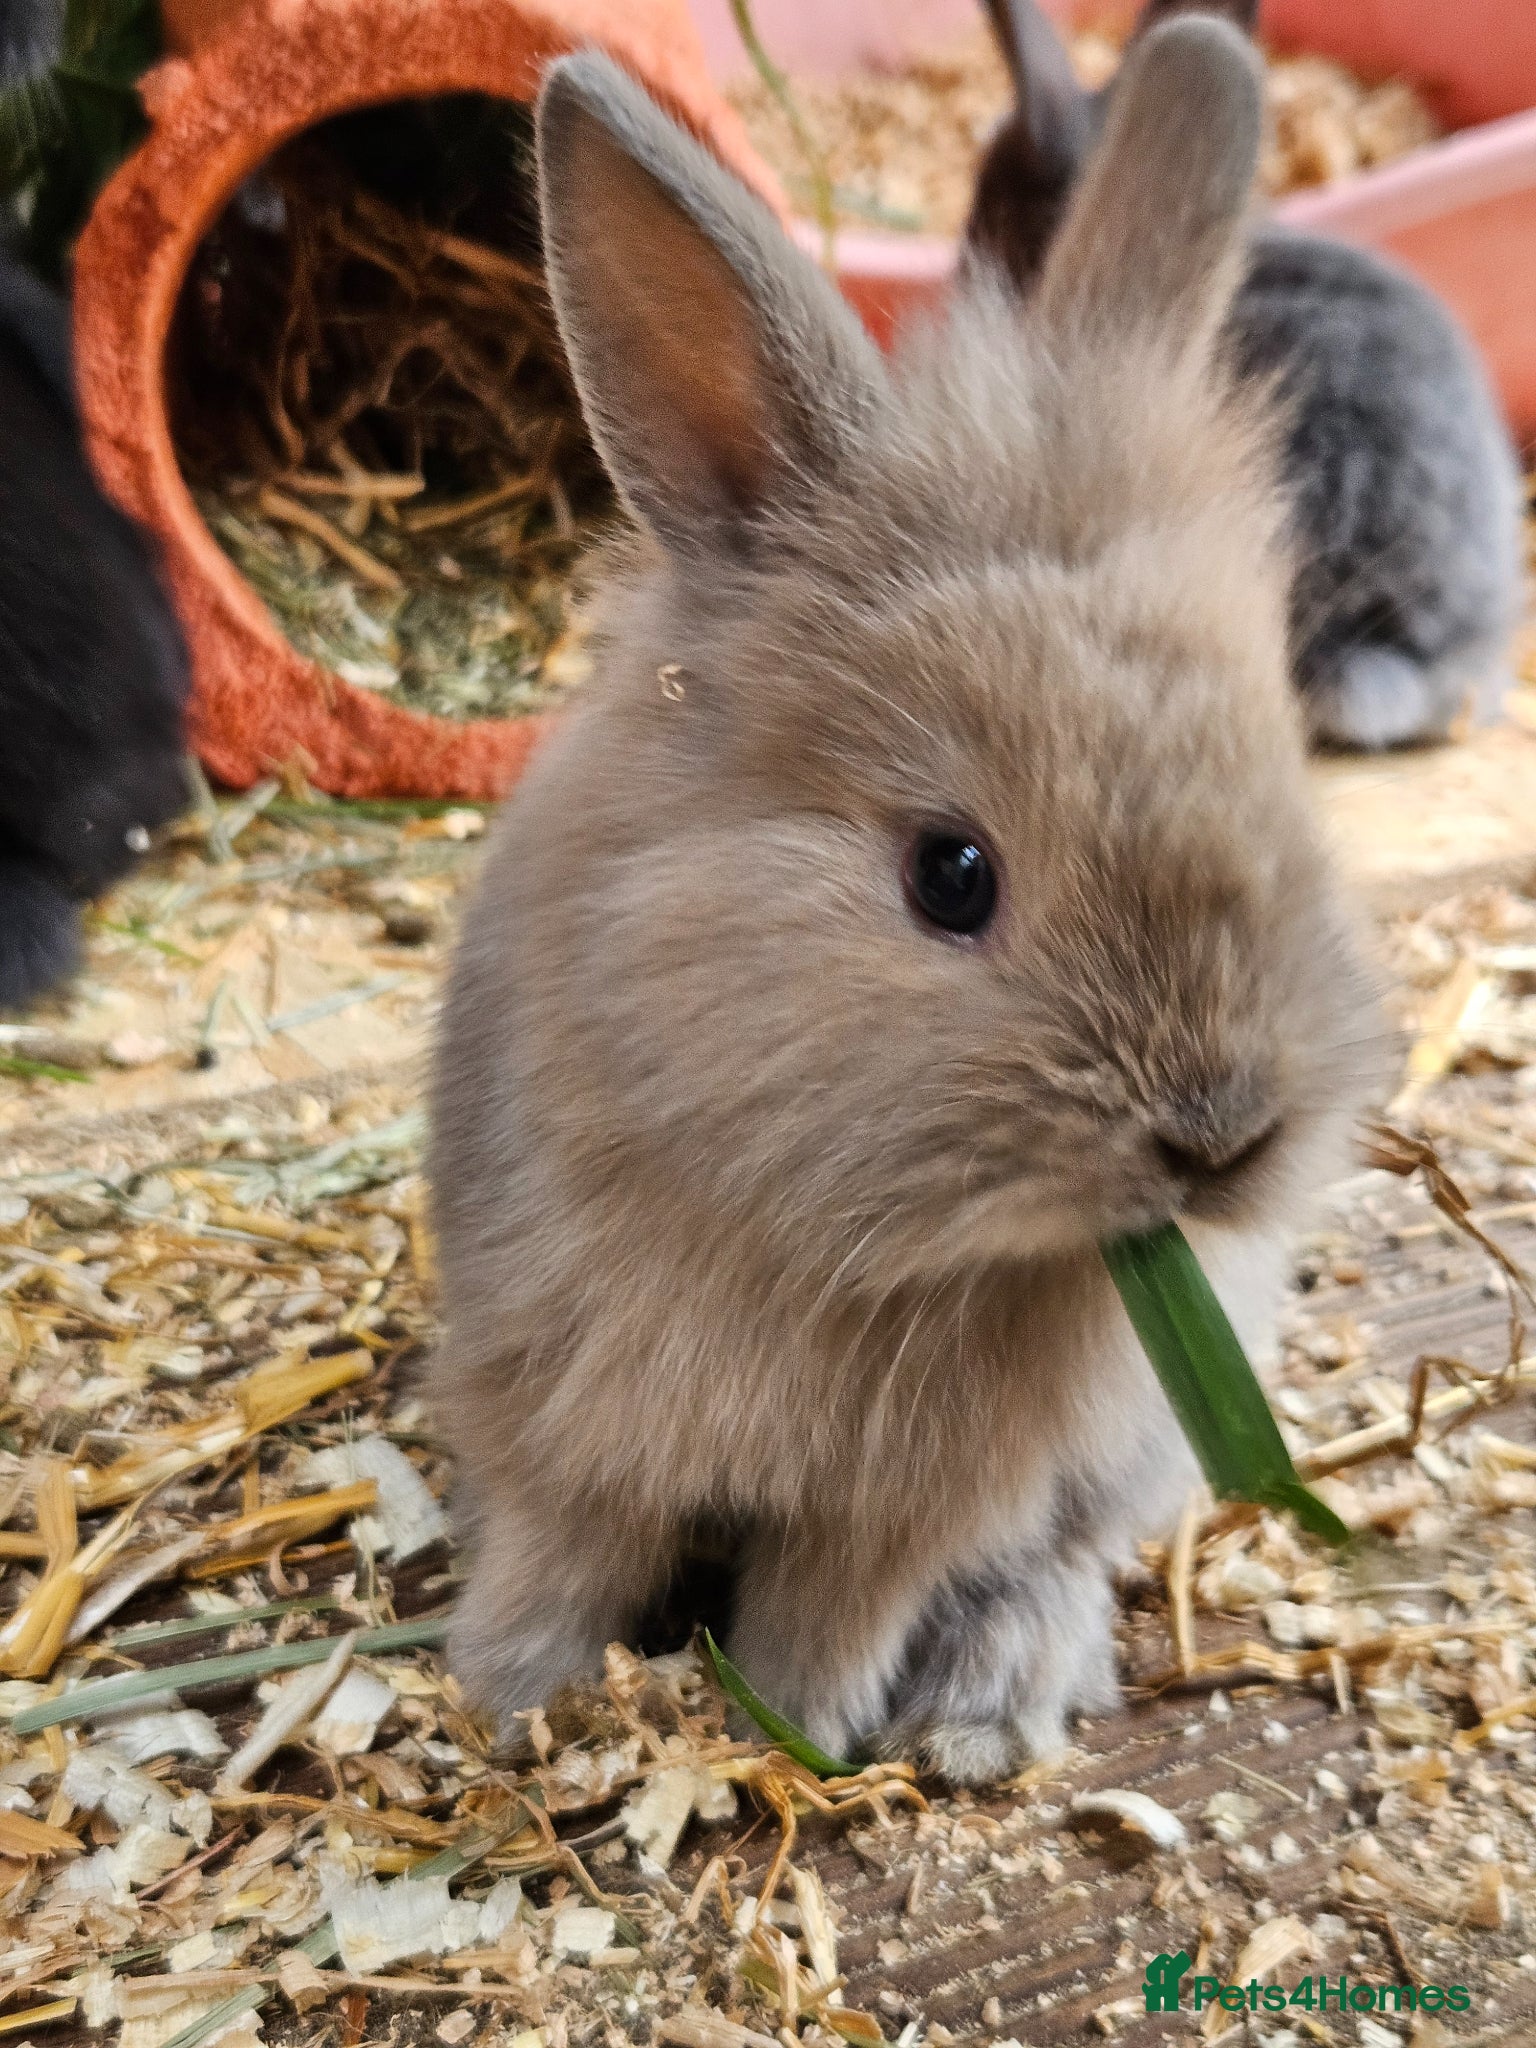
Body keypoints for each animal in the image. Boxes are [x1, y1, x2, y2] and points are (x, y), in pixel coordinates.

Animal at [428, 19, 1385, 1783]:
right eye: (954, 874)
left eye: (1290, 789)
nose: (1226, 1140)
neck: (843, 1239)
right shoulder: (553, 1409)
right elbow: (562, 1552)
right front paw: (504, 1698)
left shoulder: (906, 1509)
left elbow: (835, 1606)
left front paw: (796, 1732)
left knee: (1069, 1557)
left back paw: (989, 1706)